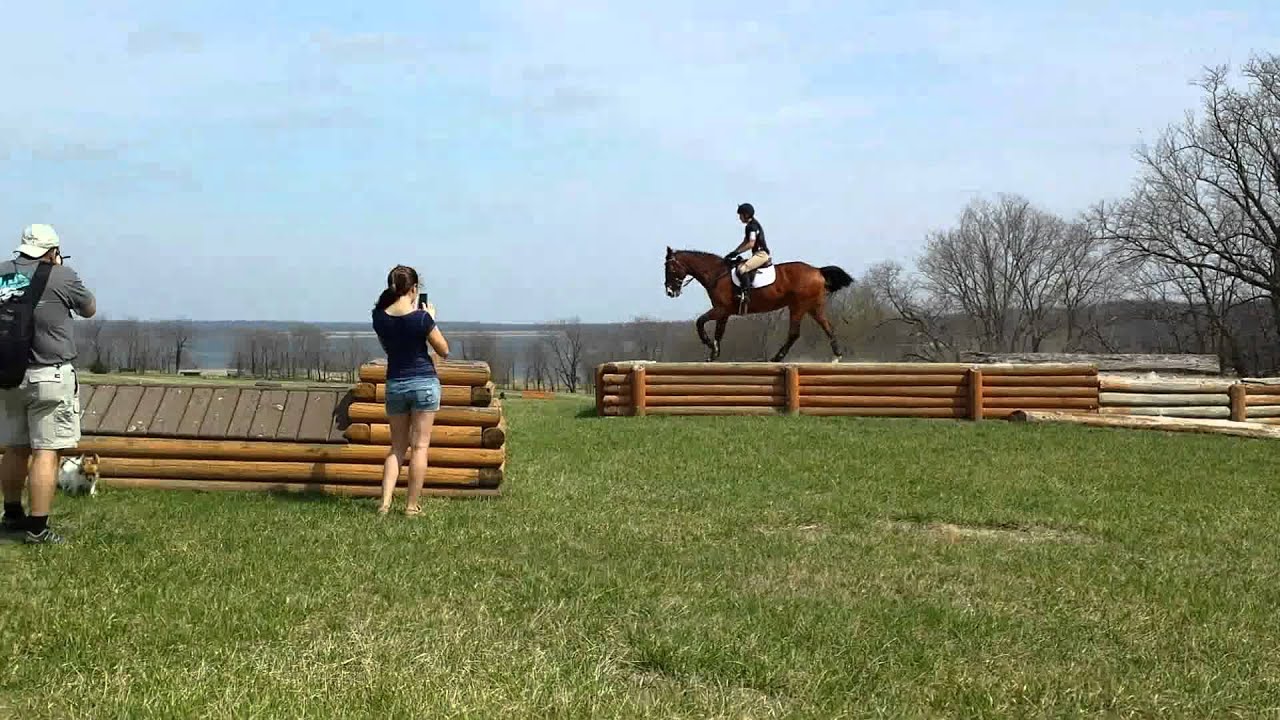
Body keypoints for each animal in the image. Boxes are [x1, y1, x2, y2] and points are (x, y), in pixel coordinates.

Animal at [664, 246, 854, 362]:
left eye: (670, 269)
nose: (670, 292)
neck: (717, 274)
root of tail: (817, 270)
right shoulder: (724, 313)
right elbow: (719, 332)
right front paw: (714, 353)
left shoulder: (720, 309)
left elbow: (700, 322)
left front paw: (708, 344)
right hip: (813, 307)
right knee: (827, 327)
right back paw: (837, 356)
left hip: (798, 306)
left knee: (794, 333)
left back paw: (777, 358)